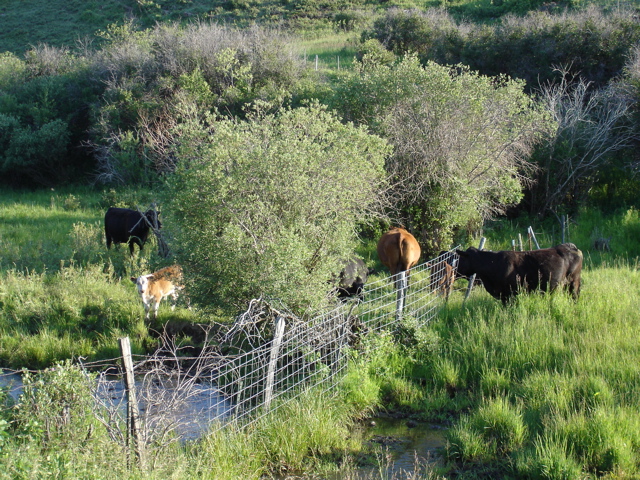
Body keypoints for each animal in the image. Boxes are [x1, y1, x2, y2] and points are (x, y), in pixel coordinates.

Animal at [456, 244, 584, 304]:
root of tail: (572, 246)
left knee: (575, 296)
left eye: (460, 259)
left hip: (574, 282)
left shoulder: (510, 294)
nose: (454, 270)